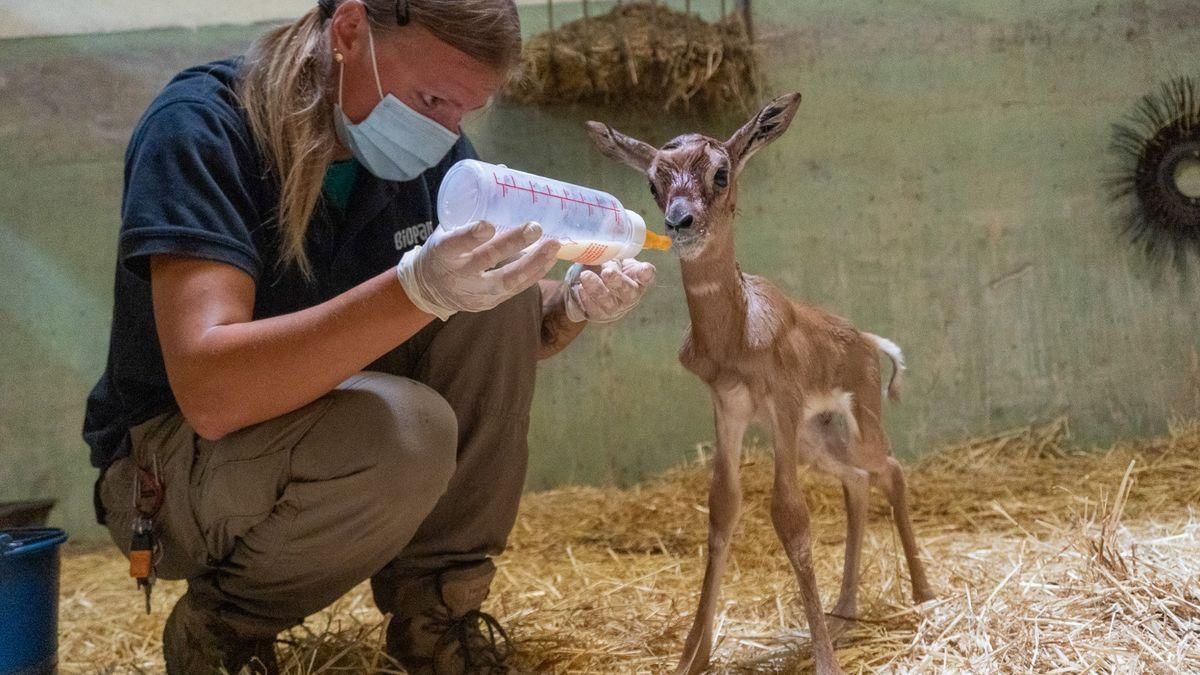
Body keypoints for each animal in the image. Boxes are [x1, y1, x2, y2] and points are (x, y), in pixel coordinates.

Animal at [585, 93, 931, 672]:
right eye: (653, 182)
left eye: (720, 173)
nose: (680, 222)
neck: (734, 334)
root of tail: (866, 339)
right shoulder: (730, 408)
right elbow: (723, 507)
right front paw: (693, 656)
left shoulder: (781, 405)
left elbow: (790, 516)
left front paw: (823, 661)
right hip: (818, 438)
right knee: (859, 481)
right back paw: (844, 610)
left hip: (855, 422)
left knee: (892, 470)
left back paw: (924, 596)